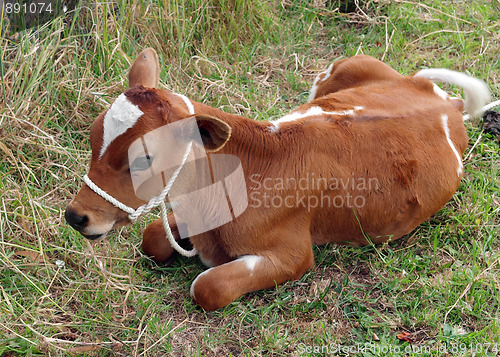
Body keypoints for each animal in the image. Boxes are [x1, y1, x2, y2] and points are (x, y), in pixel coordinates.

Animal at [64, 49, 490, 308]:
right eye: (94, 136)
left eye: (144, 159)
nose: (75, 215)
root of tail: (443, 101)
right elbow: (153, 236)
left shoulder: (294, 256)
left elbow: (209, 286)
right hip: (347, 63)